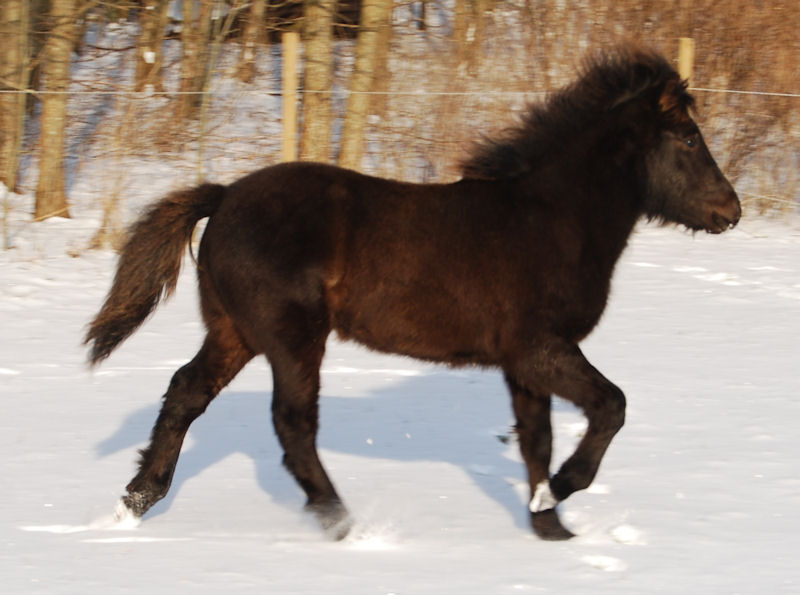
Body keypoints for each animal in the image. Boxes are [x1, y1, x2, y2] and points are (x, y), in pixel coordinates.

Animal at [86, 46, 736, 540]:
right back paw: (343, 524)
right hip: (292, 338)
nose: (730, 210)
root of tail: (222, 198)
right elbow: (610, 406)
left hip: (235, 332)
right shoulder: (540, 350)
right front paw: (564, 489)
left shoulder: (522, 365)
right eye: (687, 138)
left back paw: (134, 502)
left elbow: (537, 441)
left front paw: (549, 525)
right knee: (292, 424)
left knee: (186, 394)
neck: (551, 220)